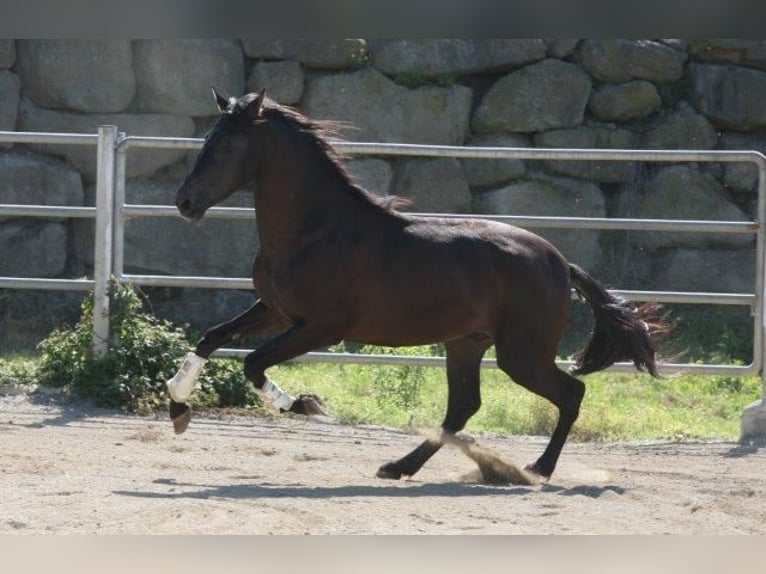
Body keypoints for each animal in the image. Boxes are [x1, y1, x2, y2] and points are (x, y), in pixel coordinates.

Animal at [166, 90, 664, 484]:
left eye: (227, 142)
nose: (185, 202)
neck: (315, 230)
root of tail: (560, 263)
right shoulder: (275, 310)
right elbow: (211, 338)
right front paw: (178, 410)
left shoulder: (321, 328)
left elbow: (252, 364)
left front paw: (306, 404)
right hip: (466, 343)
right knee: (464, 407)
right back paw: (401, 467)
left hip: (521, 354)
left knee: (570, 393)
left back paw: (535, 469)